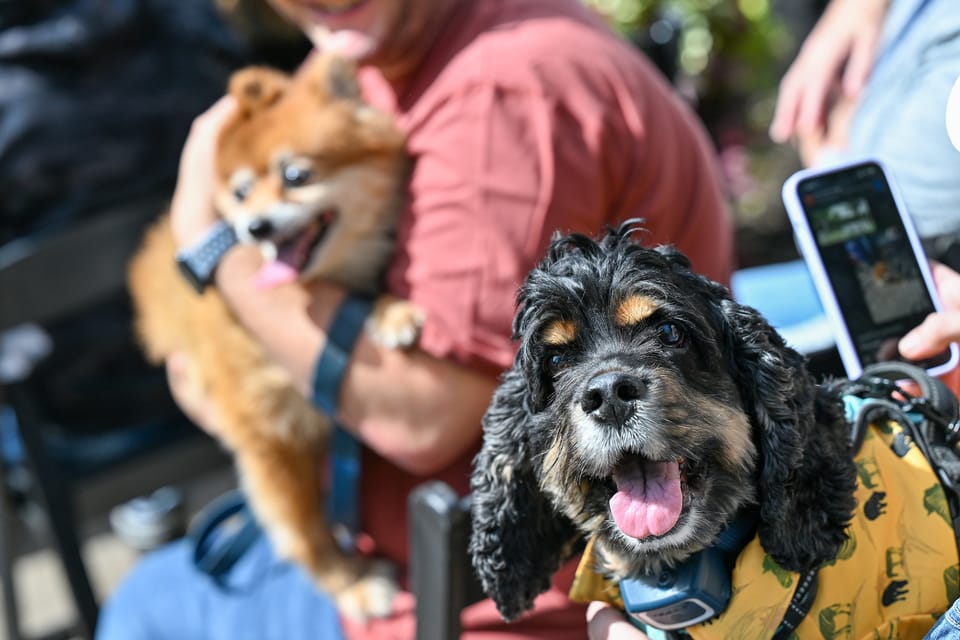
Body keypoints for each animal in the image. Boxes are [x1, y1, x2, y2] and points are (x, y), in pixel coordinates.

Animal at [125, 56, 418, 620]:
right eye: (240, 192)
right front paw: (350, 583)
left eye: (296, 176)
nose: (255, 226)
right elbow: (305, 528)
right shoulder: (266, 432)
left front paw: (391, 310)